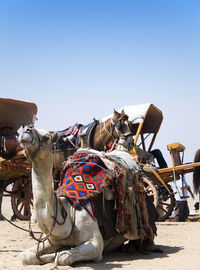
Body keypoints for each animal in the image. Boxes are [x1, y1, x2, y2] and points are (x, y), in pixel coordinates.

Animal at [19, 125, 156, 266]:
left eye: (46, 137)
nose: (27, 129)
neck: (68, 211)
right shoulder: (53, 240)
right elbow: (25, 255)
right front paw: (50, 254)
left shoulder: (95, 243)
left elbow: (63, 257)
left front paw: (58, 254)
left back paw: (133, 247)